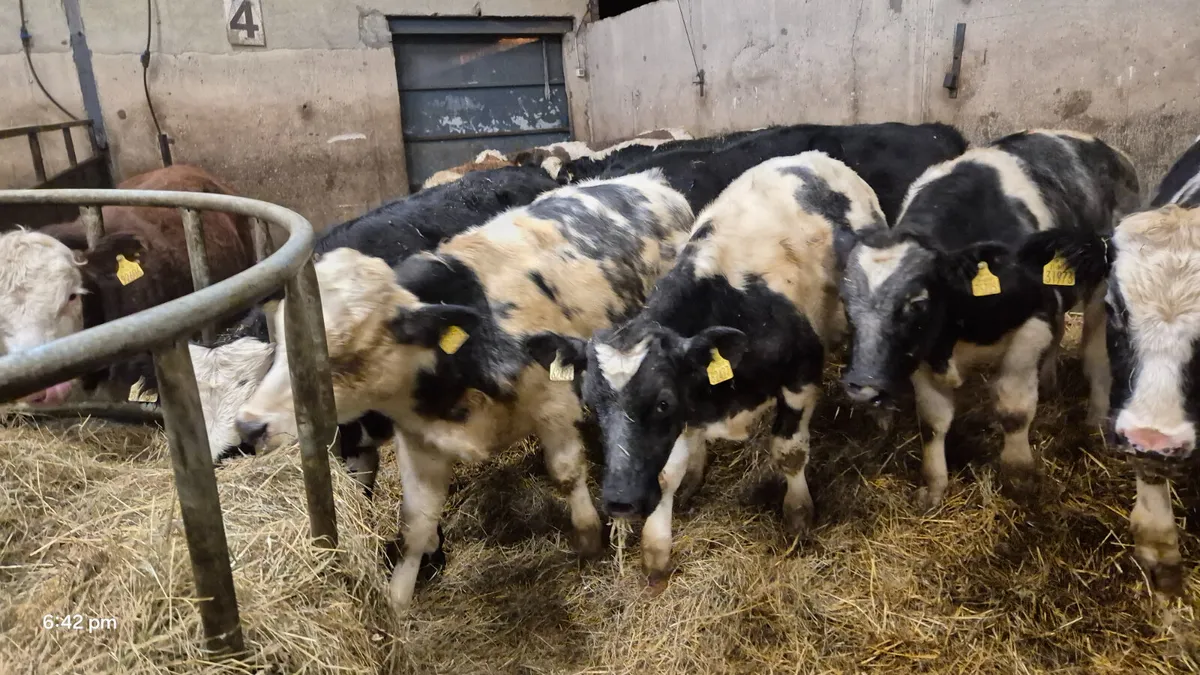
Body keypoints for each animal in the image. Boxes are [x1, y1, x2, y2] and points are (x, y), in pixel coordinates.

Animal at [234, 170, 696, 611]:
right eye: (279, 344)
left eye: (345, 353)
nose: (250, 425)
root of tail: (648, 183)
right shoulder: (419, 439)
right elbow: (417, 523)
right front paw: (398, 601)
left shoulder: (553, 405)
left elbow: (566, 473)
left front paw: (587, 537)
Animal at [525, 152, 887, 585]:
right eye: (592, 404)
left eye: (662, 402)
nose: (619, 501)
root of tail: (811, 158)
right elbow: (667, 474)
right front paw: (656, 550)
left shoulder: (800, 377)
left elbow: (789, 452)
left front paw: (799, 513)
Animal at [838, 129, 1140, 511]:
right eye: (845, 301)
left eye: (917, 302)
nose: (861, 384)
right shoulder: (923, 348)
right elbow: (932, 422)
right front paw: (934, 486)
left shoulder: (1030, 326)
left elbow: (1013, 411)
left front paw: (1019, 475)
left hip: (1102, 285)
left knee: (1095, 354)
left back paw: (1095, 420)